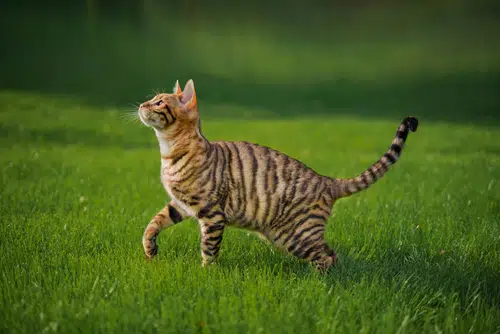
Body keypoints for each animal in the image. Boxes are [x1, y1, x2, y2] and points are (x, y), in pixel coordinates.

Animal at [137, 79, 418, 272]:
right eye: (152, 99)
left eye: (160, 102)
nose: (140, 104)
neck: (169, 152)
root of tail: (327, 181)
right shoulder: (180, 204)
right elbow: (152, 225)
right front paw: (150, 252)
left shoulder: (212, 214)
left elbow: (209, 249)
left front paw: (206, 274)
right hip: (287, 236)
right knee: (331, 253)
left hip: (296, 235)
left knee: (328, 256)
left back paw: (317, 285)